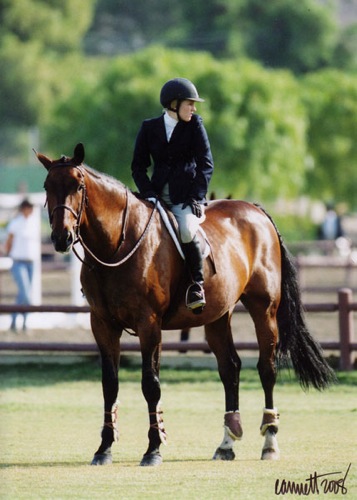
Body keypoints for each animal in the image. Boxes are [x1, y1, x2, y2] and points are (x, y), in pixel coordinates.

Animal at [36, 143, 334, 466]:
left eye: (78, 186)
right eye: (47, 186)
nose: (61, 237)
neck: (118, 243)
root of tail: (257, 211)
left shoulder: (149, 324)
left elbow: (150, 384)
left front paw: (153, 448)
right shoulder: (102, 324)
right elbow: (109, 385)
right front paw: (104, 448)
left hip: (263, 309)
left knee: (266, 369)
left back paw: (269, 441)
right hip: (218, 316)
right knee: (230, 368)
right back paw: (227, 443)